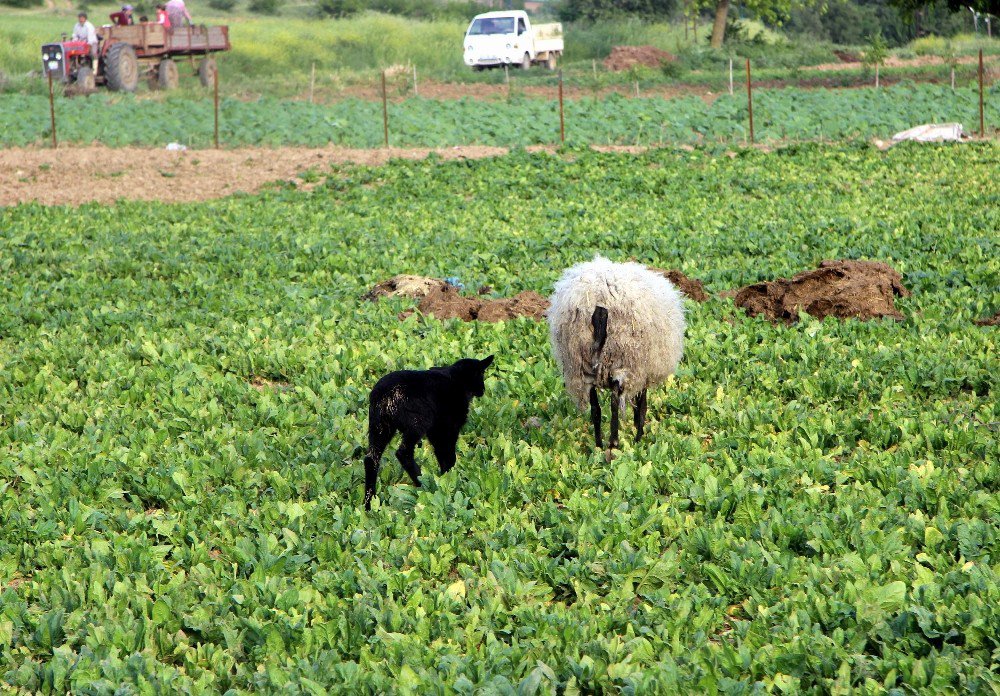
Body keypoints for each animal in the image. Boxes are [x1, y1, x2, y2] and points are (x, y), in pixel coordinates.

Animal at [366, 356, 494, 508]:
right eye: (481, 374)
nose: (483, 389)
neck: (458, 379)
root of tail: (386, 396)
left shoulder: (436, 430)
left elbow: (441, 454)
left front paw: (444, 477)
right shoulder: (448, 426)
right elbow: (448, 455)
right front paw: (448, 477)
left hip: (379, 425)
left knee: (371, 458)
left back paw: (369, 503)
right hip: (418, 422)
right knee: (403, 452)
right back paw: (421, 483)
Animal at [548, 258, 688, 448]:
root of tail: (599, 304)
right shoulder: (643, 372)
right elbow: (642, 406)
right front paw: (638, 436)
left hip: (582, 363)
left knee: (595, 408)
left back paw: (599, 445)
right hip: (621, 359)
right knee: (615, 401)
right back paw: (613, 442)